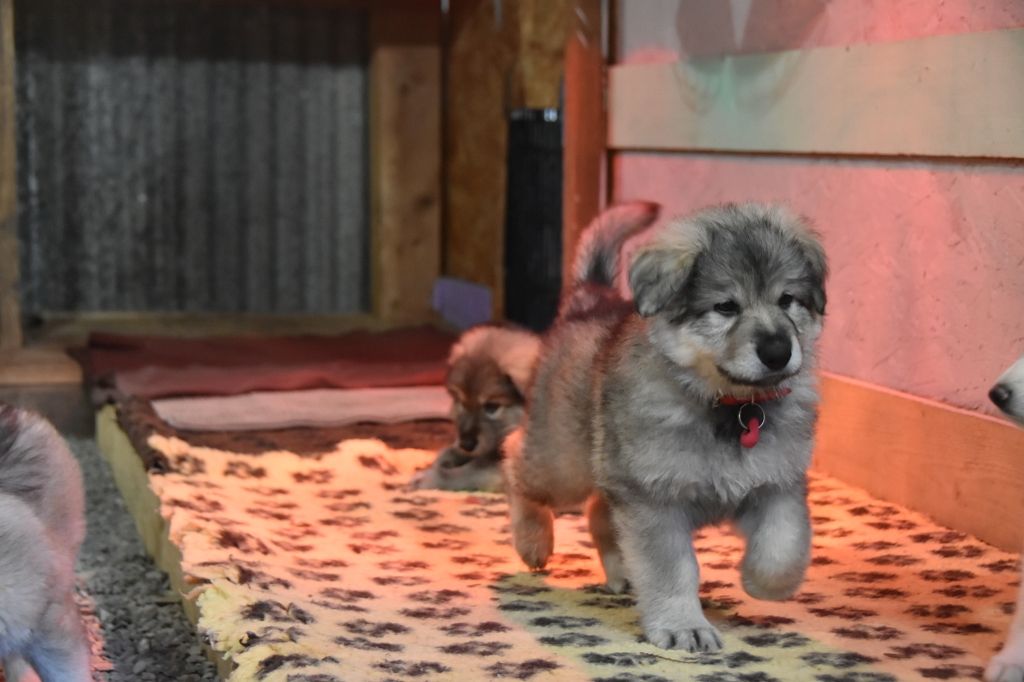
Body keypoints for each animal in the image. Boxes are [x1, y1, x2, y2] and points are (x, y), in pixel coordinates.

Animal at [504, 203, 828, 652]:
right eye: (725, 306)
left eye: (787, 300)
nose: (778, 351)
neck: (729, 404)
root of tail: (589, 301)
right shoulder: (657, 500)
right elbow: (673, 570)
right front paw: (683, 626)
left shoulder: (776, 485)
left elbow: (784, 546)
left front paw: (758, 582)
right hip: (563, 460)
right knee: (516, 458)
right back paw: (533, 542)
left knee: (600, 511)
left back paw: (622, 570)